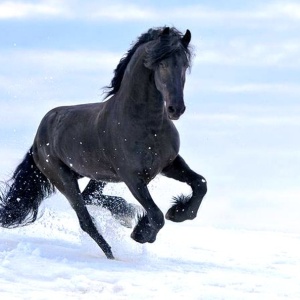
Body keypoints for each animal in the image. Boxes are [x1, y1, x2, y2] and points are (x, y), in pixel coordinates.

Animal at [0, 27, 206, 258]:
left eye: (185, 65)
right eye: (161, 64)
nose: (176, 109)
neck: (146, 125)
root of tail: (38, 138)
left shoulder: (168, 164)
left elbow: (200, 183)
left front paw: (178, 212)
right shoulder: (132, 178)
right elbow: (156, 214)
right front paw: (141, 233)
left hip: (97, 175)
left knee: (89, 196)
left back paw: (125, 213)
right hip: (64, 179)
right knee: (85, 220)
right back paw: (112, 253)